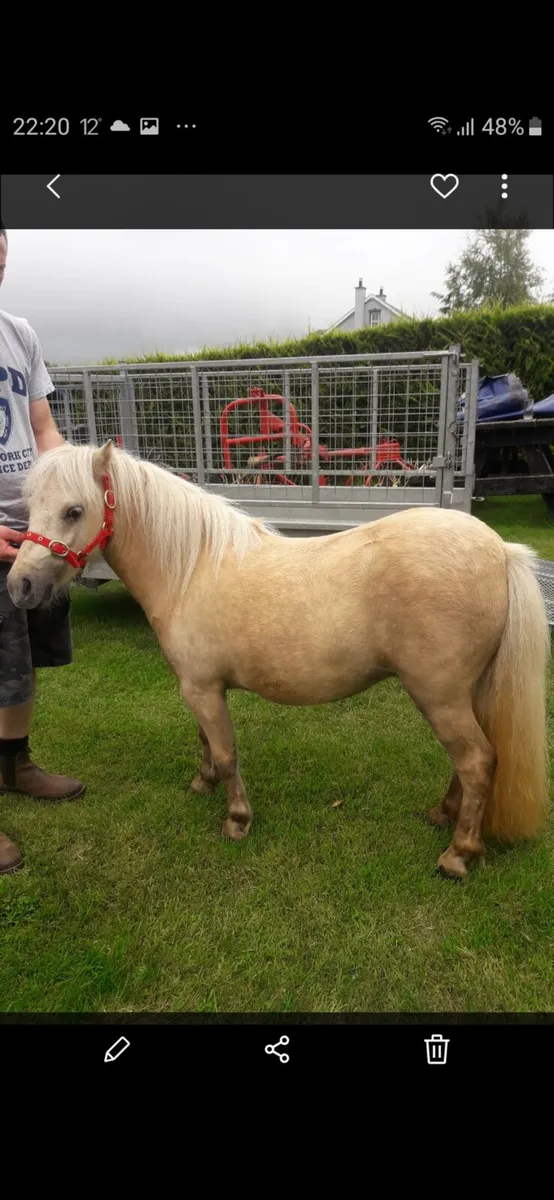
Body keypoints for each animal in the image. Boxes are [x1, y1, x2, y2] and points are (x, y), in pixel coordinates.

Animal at [6, 439, 550, 879]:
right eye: (30, 506)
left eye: (74, 510)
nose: (20, 586)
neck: (190, 568)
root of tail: (499, 550)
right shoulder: (198, 687)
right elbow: (205, 742)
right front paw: (203, 783)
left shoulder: (202, 688)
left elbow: (226, 753)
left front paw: (237, 820)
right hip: (461, 695)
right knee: (470, 759)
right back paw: (444, 815)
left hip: (439, 696)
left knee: (477, 760)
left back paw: (457, 854)